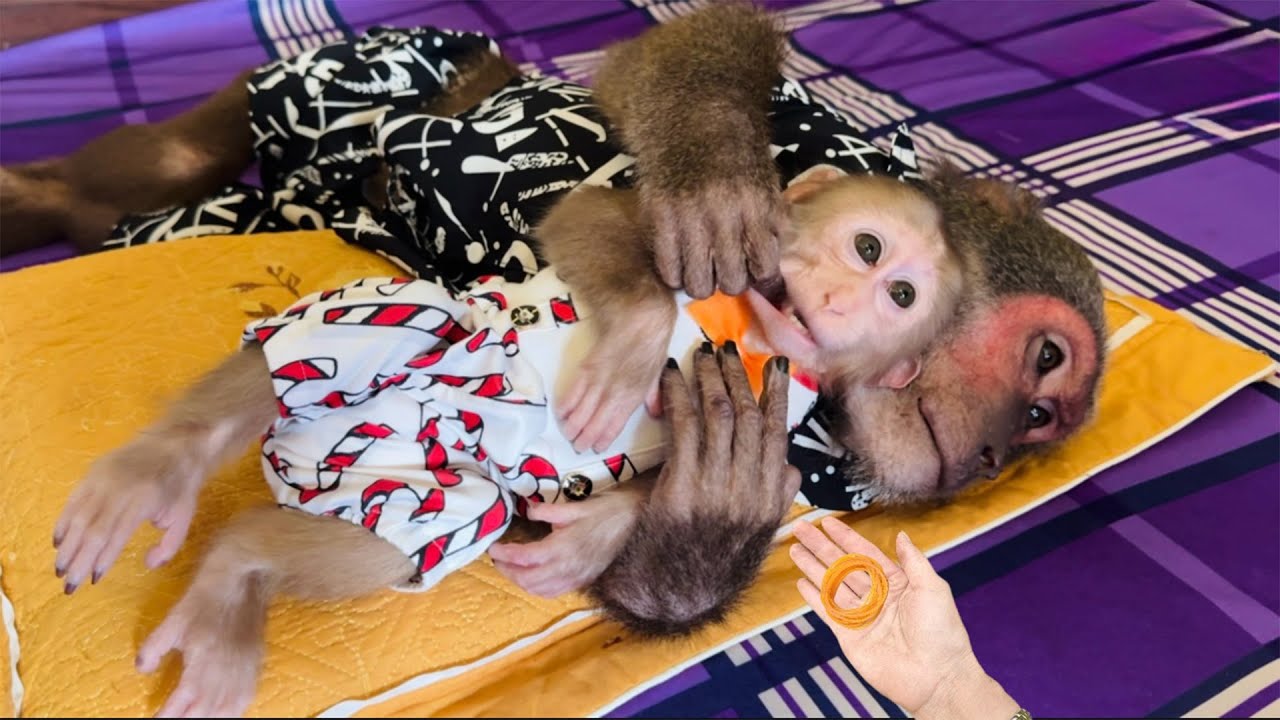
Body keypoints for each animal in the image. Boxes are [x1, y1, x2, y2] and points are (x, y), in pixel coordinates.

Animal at [9, 0, 1106, 675]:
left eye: (1039, 420)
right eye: (1043, 366)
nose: (993, 447)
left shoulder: (837, 468)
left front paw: (676, 511)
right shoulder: (823, 156)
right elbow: (669, 104)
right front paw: (710, 184)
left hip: (391, 466)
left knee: (403, 506)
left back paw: (231, 570)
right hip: (370, 68)